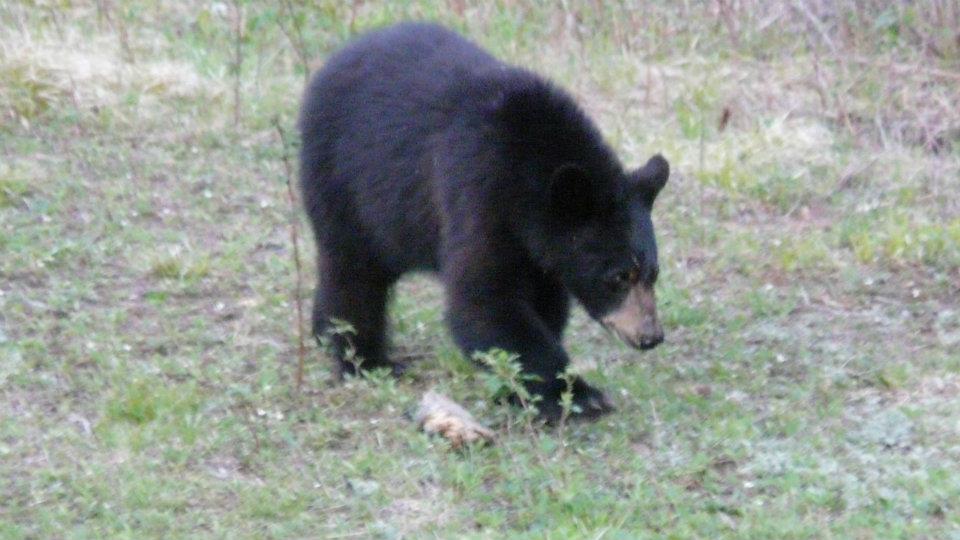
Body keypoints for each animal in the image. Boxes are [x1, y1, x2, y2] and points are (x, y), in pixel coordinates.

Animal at [300, 23, 668, 422]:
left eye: (653, 273)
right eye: (618, 277)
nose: (650, 336)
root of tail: (331, 61)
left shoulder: (540, 249)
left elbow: (543, 303)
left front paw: (520, 390)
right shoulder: (478, 191)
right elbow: (485, 298)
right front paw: (576, 394)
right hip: (345, 183)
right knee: (353, 272)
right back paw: (365, 359)